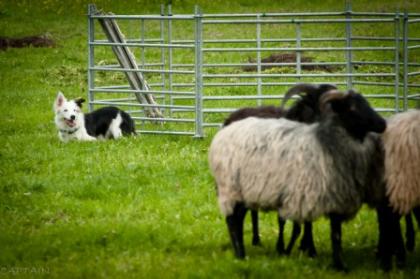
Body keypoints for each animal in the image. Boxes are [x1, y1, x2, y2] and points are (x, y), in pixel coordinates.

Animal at [223, 82, 338, 256]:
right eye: (322, 104)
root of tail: (229, 118)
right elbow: (283, 219)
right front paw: (283, 248)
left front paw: (309, 248)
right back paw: (241, 248)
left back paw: (253, 241)